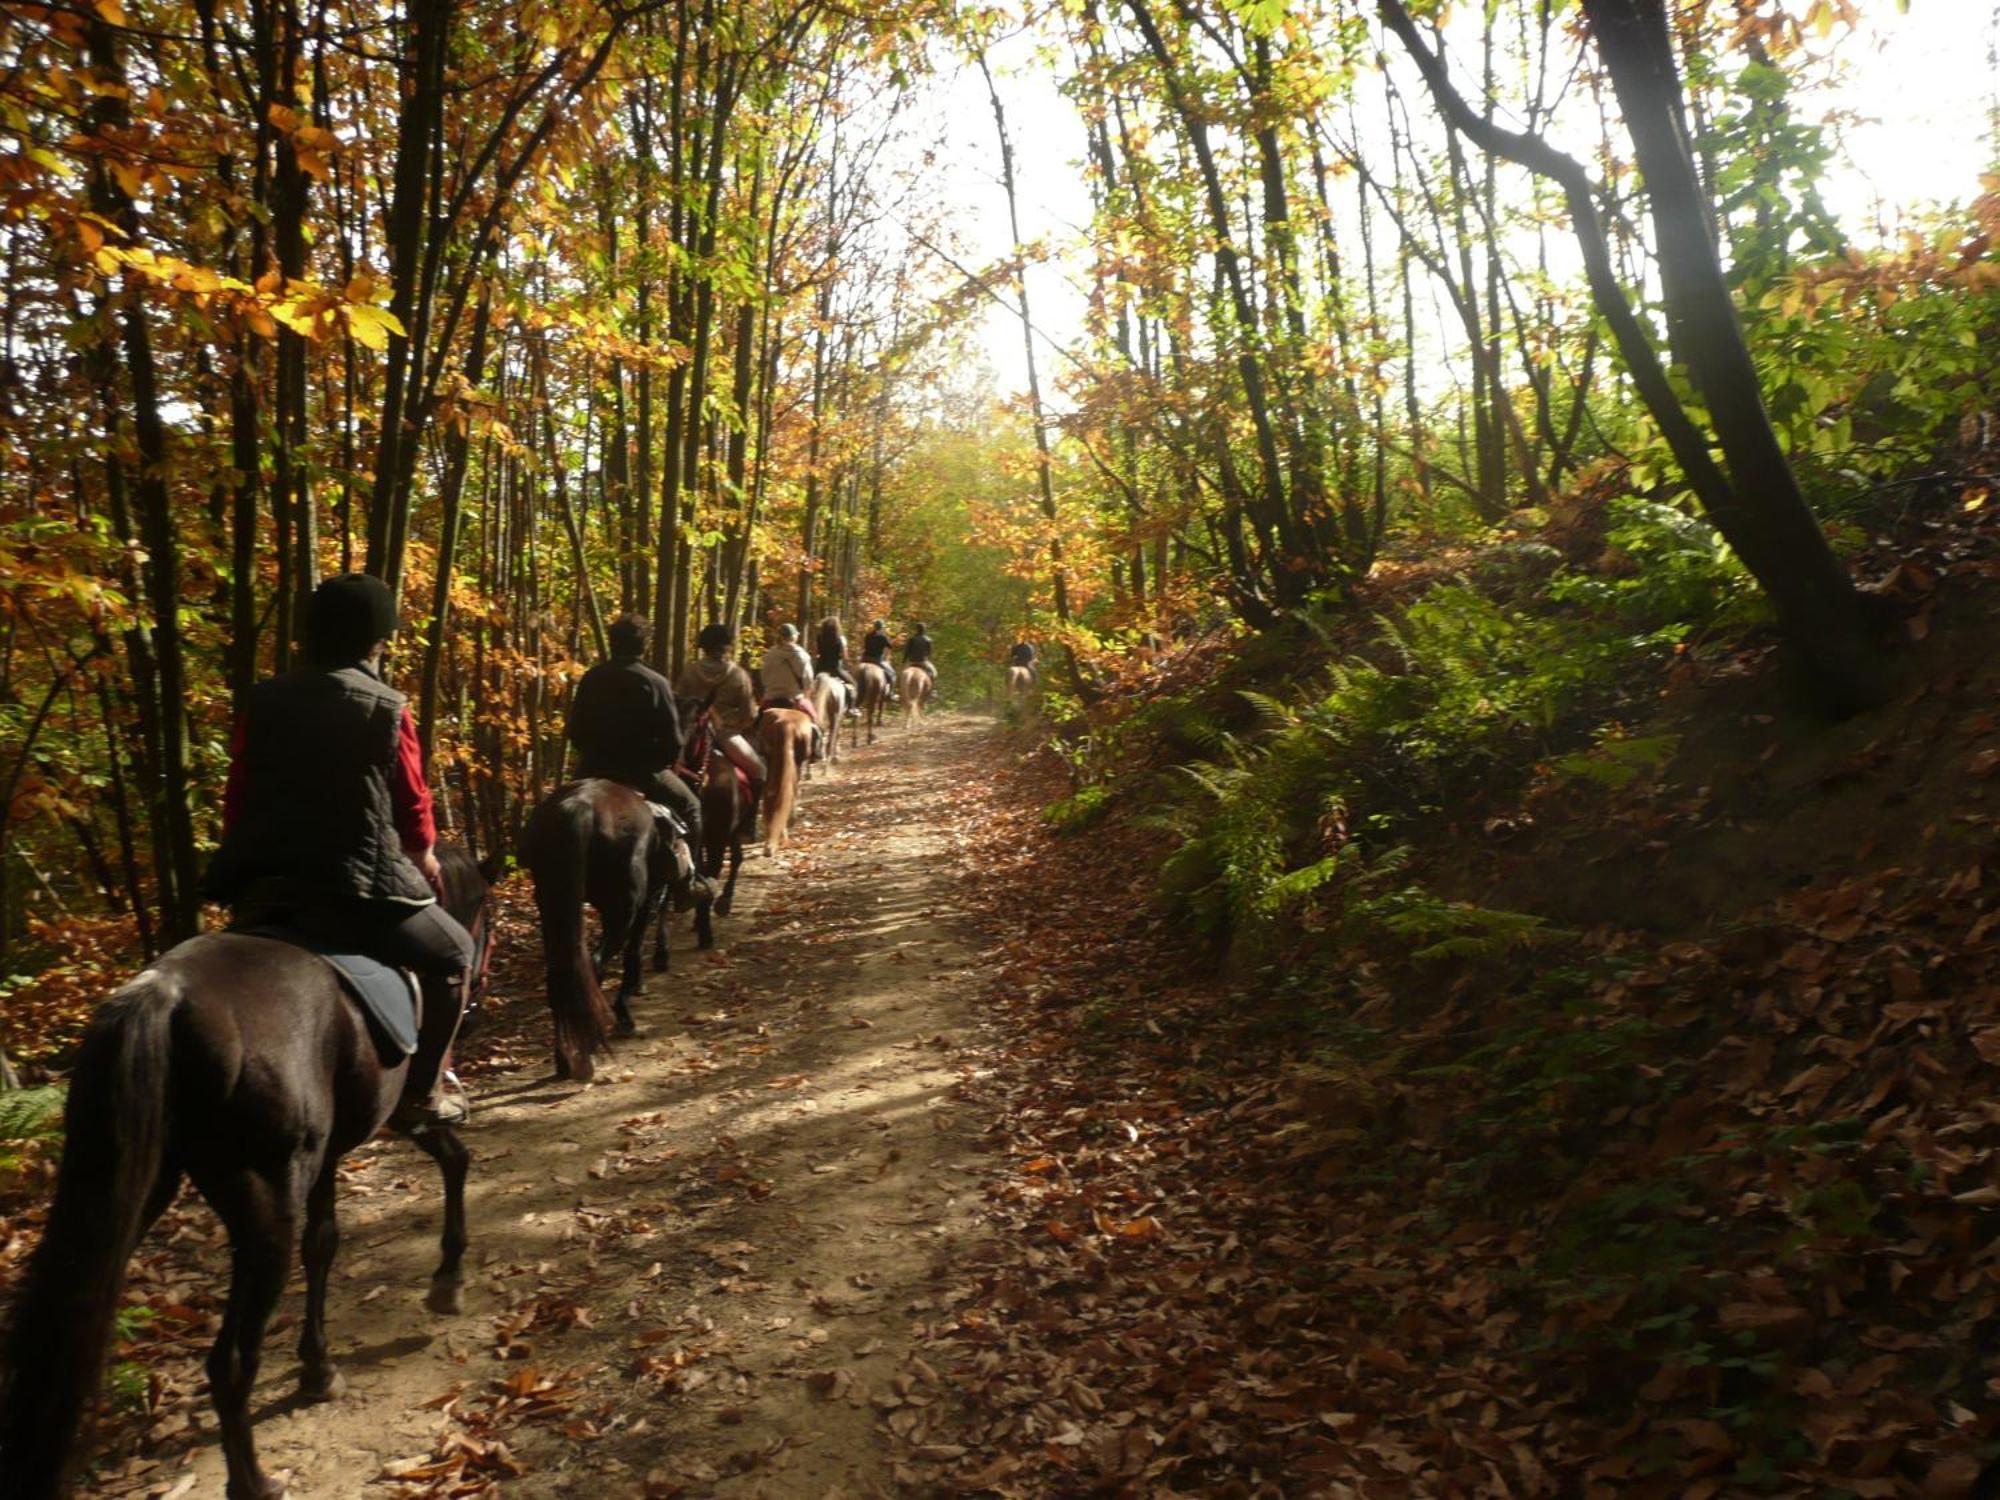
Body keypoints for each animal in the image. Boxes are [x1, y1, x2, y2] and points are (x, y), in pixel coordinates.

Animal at [0, 852, 496, 1500]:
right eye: (486, 918)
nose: (478, 987)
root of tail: (164, 996)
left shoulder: (327, 1156)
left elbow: (324, 1243)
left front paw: (318, 1367)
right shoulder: (399, 1114)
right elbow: (454, 1159)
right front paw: (448, 1279)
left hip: (131, 1195)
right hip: (264, 1206)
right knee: (231, 1360)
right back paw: (254, 1480)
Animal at [520, 776, 684, 1080]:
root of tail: (579, 805)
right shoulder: (646, 903)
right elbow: (633, 953)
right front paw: (626, 1014)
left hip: (553, 910)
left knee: (562, 977)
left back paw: (566, 1060)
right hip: (622, 911)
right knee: (595, 966)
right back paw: (589, 1052)